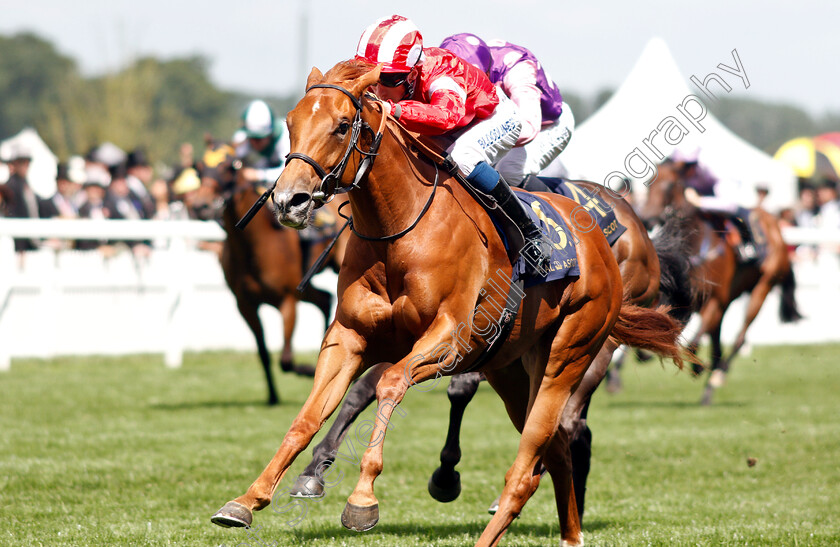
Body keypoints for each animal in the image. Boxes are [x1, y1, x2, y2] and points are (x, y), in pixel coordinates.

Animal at [195, 143, 346, 404]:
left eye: (229, 167)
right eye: (200, 168)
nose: (201, 205)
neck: (253, 246)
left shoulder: (288, 300)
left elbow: (286, 360)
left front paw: (307, 371)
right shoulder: (246, 305)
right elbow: (264, 353)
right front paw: (273, 396)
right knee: (325, 299)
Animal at [288, 178, 696, 520]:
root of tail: (642, 233)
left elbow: (449, 388)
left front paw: (446, 474)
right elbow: (361, 391)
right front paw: (313, 470)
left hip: (592, 346)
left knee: (565, 420)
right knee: (574, 428)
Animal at [636, 162, 800, 402]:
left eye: (669, 185)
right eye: (648, 184)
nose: (647, 218)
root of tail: (774, 225)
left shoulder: (713, 299)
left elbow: (693, 342)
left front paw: (697, 367)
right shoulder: (682, 297)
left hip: (761, 288)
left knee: (739, 337)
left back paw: (716, 377)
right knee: (717, 339)